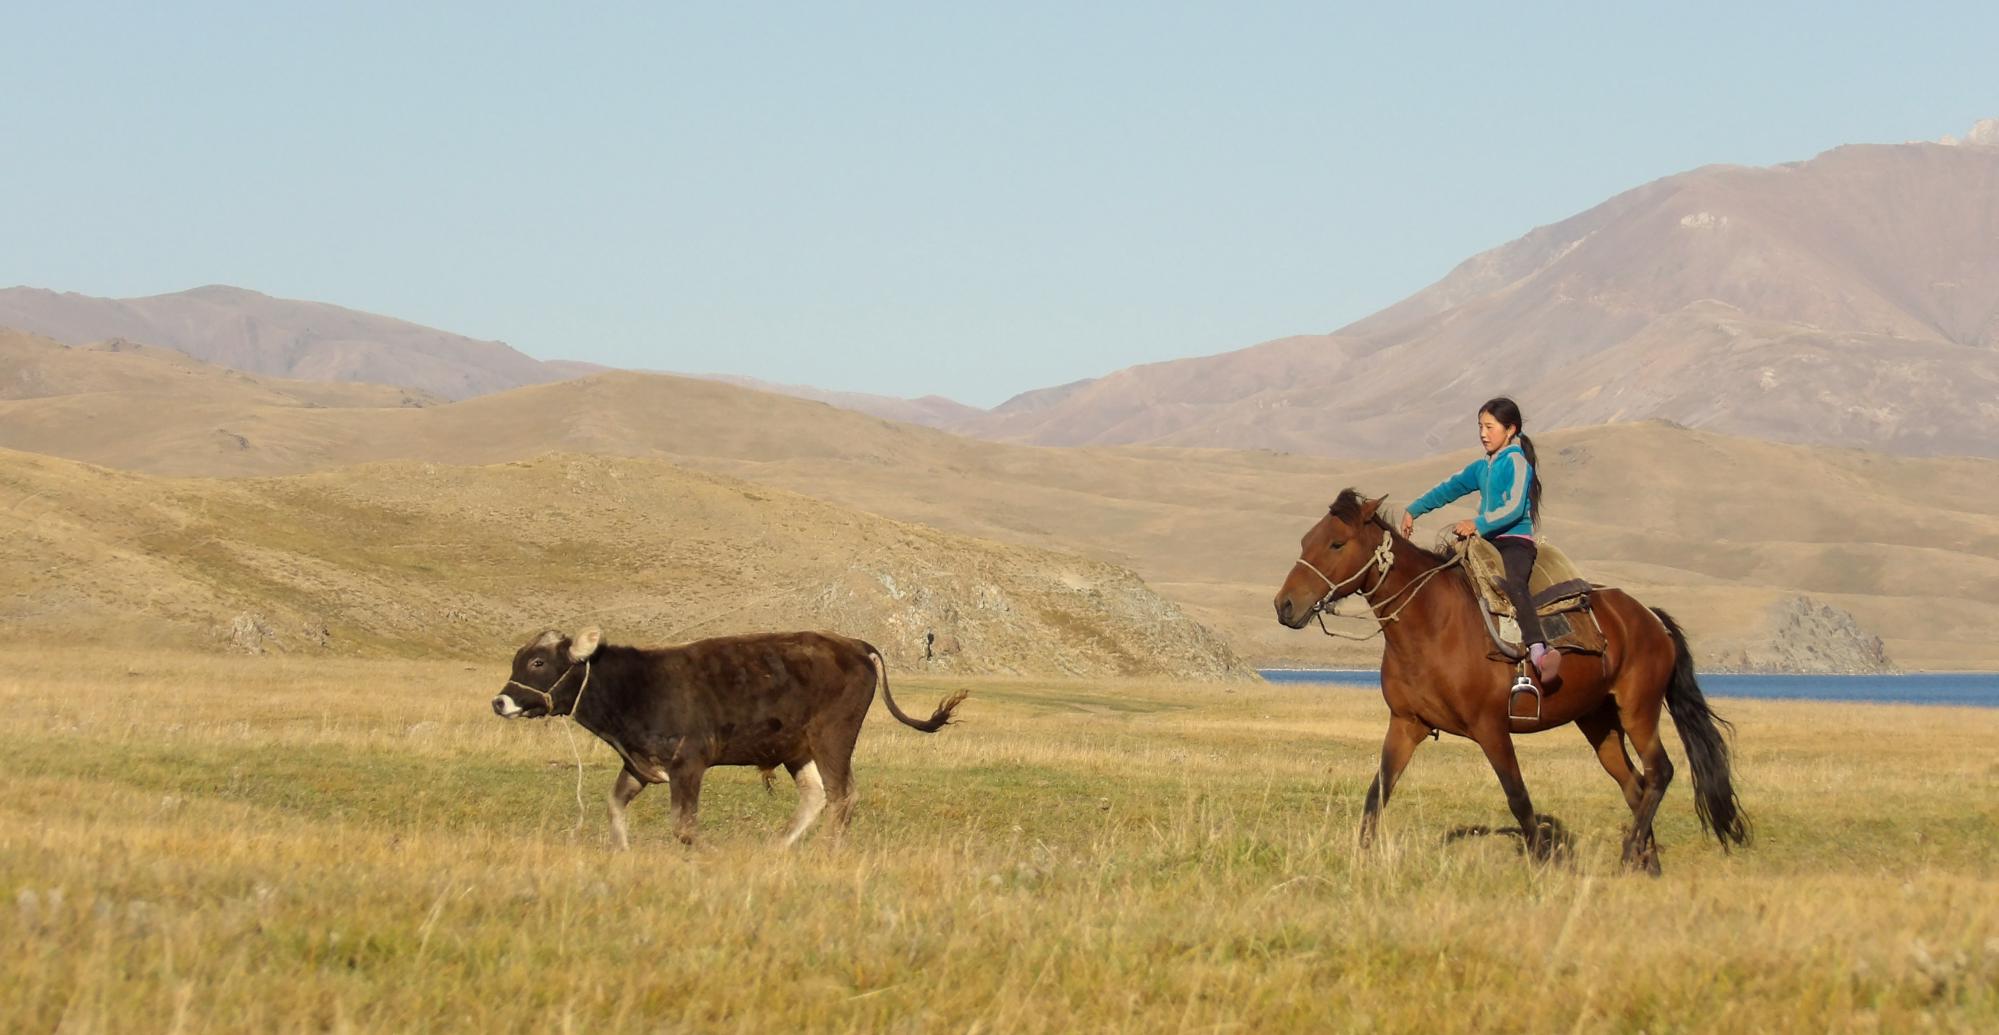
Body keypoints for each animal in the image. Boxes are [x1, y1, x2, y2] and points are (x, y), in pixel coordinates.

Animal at [487, 627, 963, 847]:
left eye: (538, 662)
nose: (500, 701)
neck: (638, 683)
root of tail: (852, 644)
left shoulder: (688, 763)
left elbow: (683, 824)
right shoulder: (638, 765)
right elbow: (614, 806)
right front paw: (621, 849)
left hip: (833, 738)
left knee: (842, 795)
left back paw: (827, 849)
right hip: (797, 749)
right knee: (815, 796)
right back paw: (779, 848)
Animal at [1271, 493, 1743, 875]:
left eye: (1336, 543)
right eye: (1304, 542)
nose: (1284, 605)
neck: (1433, 623)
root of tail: (1650, 618)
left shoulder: (1491, 728)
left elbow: (1518, 796)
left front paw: (1544, 862)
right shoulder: (1406, 724)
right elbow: (1378, 792)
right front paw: (1361, 858)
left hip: (1638, 709)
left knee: (1659, 771)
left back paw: (1630, 854)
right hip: (1599, 721)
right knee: (1635, 784)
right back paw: (1648, 863)